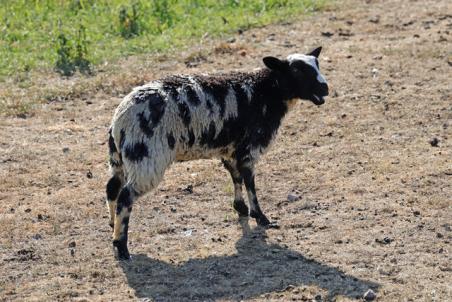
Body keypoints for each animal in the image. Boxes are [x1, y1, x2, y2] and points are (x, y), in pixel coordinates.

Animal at [107, 47, 330, 260]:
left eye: (317, 65)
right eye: (297, 71)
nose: (325, 88)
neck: (266, 91)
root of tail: (120, 119)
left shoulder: (231, 149)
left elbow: (236, 177)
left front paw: (240, 208)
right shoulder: (250, 148)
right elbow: (250, 183)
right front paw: (260, 216)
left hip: (120, 159)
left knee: (112, 189)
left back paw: (112, 225)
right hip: (146, 157)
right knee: (125, 197)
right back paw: (122, 246)